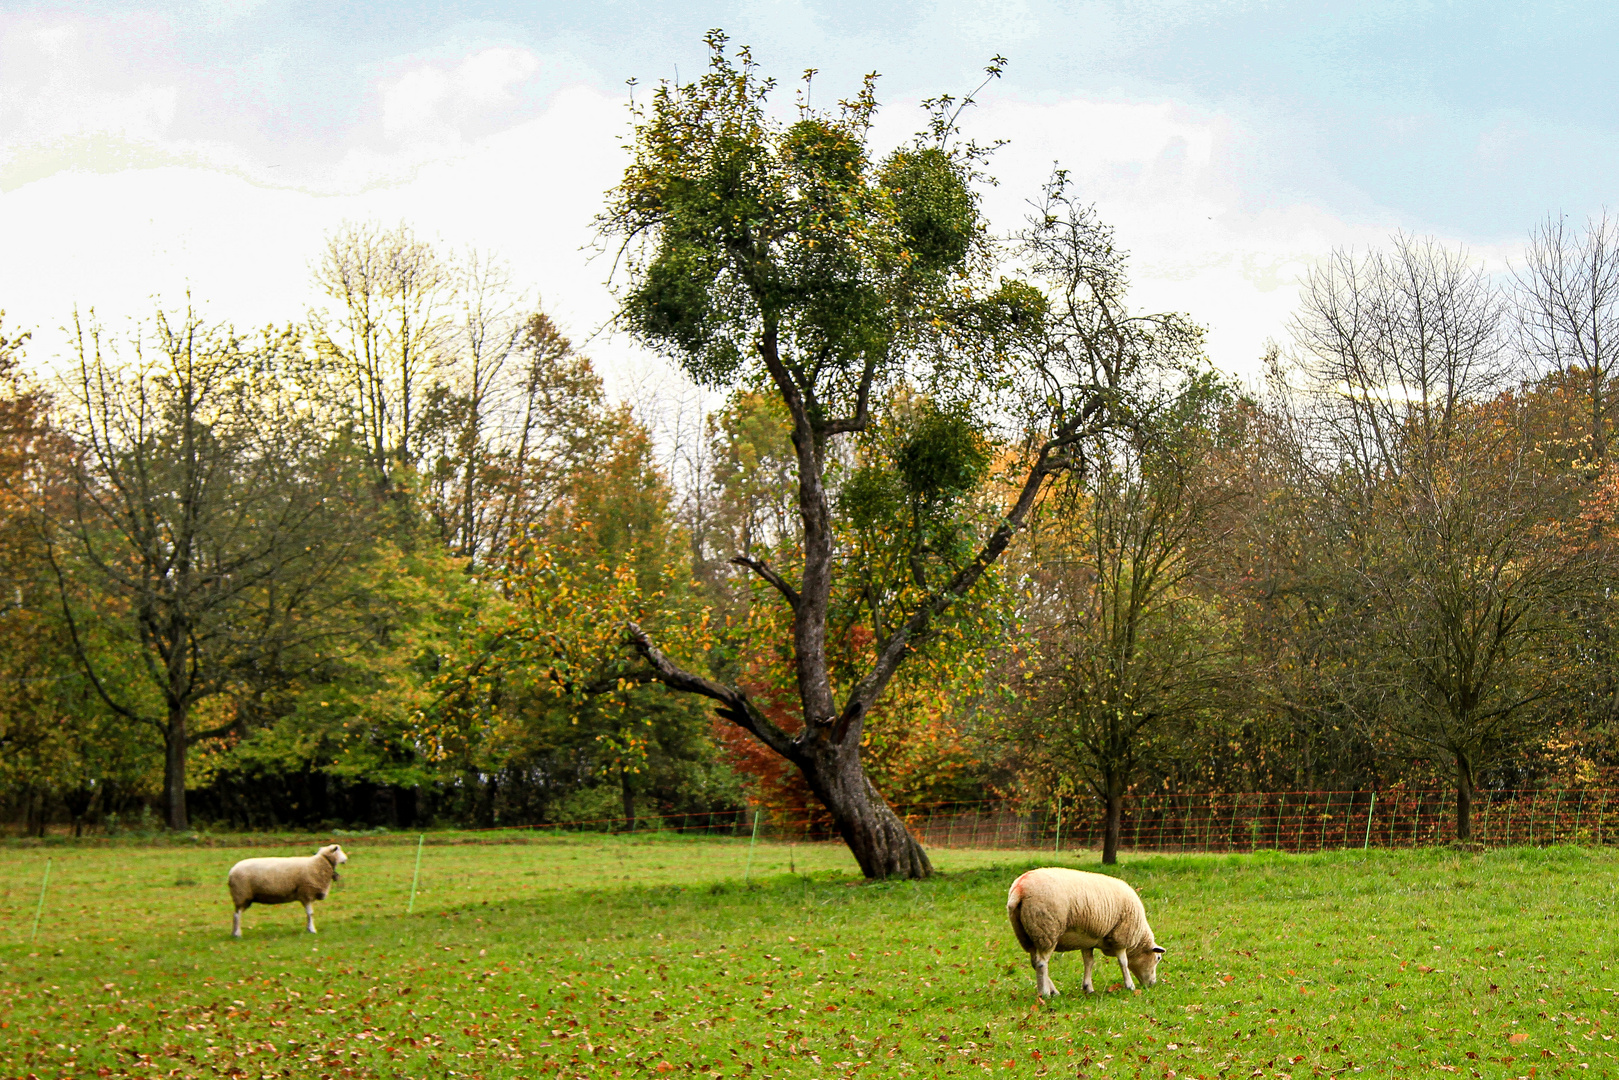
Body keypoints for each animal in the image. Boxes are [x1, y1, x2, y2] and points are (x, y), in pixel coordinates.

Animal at [997, 867, 1165, 1003]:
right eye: (1158, 958)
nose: (1152, 984)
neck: (1138, 939)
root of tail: (1019, 889)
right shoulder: (1121, 937)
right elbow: (1123, 962)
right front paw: (1129, 985)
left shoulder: (1087, 941)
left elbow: (1089, 962)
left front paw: (1088, 987)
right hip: (1047, 929)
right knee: (1041, 963)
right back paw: (1044, 993)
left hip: (1028, 933)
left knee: (1034, 961)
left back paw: (1054, 991)